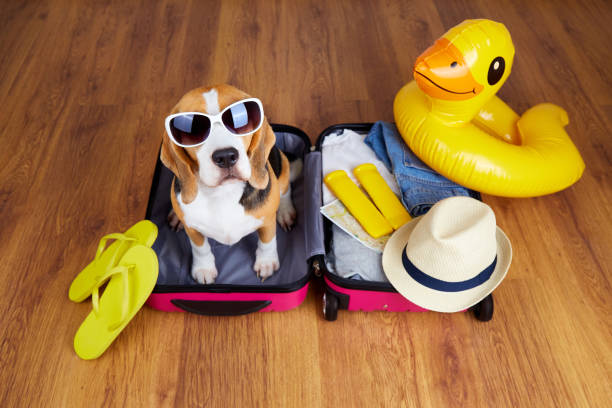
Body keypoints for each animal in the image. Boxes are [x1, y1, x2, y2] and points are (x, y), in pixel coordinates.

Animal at [160, 84, 296, 284]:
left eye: (240, 119)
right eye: (192, 130)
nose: (225, 157)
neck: (222, 193)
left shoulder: (267, 220)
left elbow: (267, 242)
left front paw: (266, 263)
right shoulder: (193, 230)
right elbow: (200, 248)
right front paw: (204, 268)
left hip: (283, 164)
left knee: (285, 190)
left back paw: (286, 211)